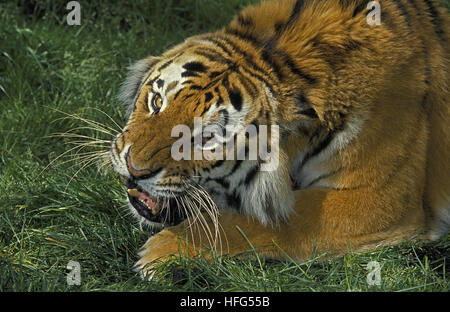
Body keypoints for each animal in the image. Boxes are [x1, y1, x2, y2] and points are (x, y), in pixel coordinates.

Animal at [107, 0, 448, 278]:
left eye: (207, 138)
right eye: (156, 101)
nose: (134, 168)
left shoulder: (380, 197)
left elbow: (256, 221)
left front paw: (160, 250)